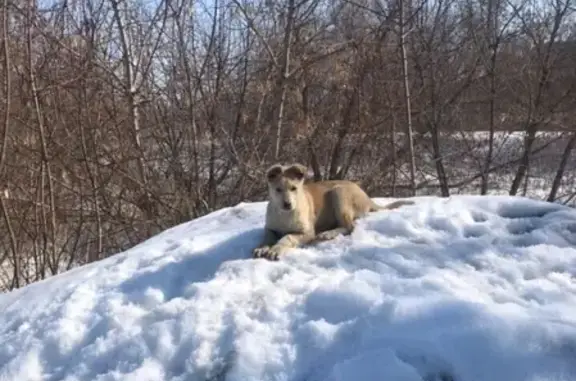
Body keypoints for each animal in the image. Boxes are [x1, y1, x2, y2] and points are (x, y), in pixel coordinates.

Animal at [252, 162, 414, 260]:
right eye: (278, 190)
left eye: (294, 188)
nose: (287, 204)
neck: (284, 215)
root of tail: (367, 197)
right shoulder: (270, 228)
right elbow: (267, 237)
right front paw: (261, 247)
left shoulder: (307, 232)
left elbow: (287, 237)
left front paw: (275, 249)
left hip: (339, 193)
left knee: (349, 227)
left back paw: (327, 234)